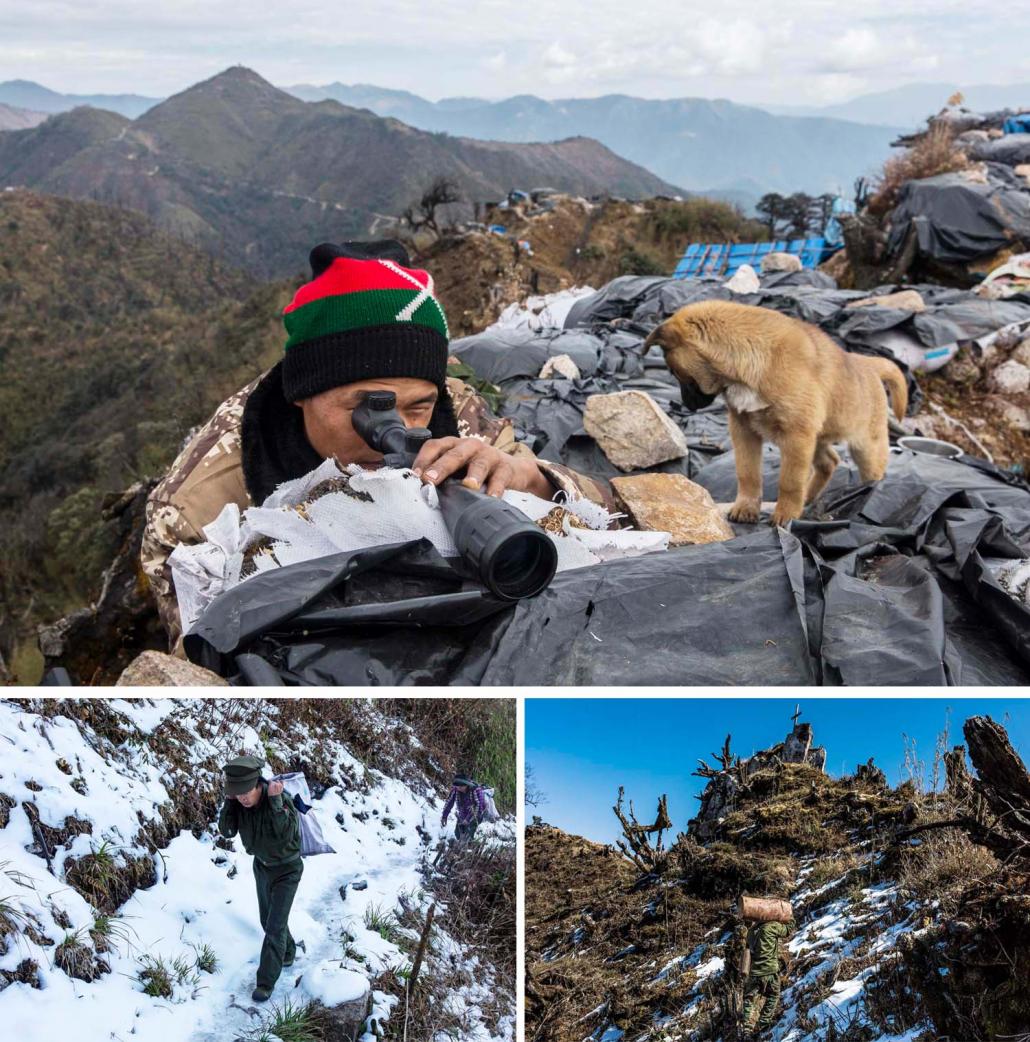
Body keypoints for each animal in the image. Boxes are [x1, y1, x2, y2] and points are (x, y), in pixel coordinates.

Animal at [646, 302, 904, 529]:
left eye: (673, 371)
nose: (686, 405)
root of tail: (867, 363)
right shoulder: (744, 430)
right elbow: (748, 473)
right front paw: (746, 509)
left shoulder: (796, 437)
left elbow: (789, 482)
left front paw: (786, 515)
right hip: (817, 437)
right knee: (829, 462)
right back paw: (808, 499)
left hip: (865, 446)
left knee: (870, 471)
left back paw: (867, 494)